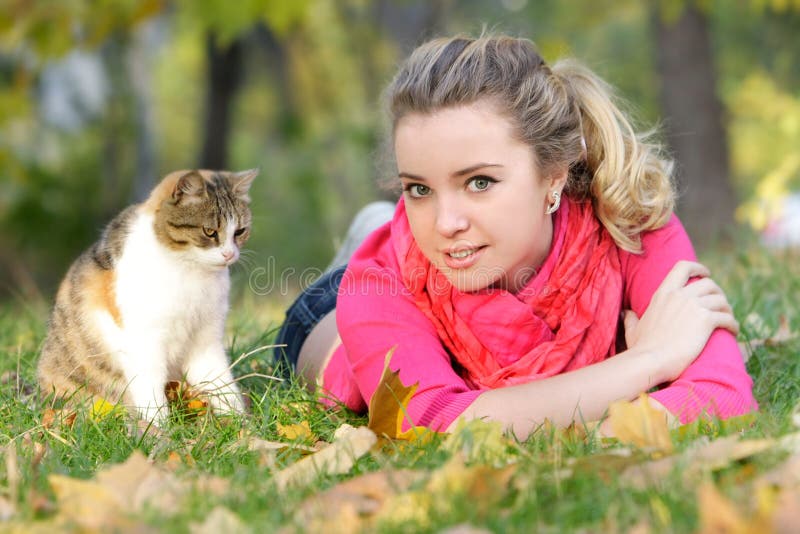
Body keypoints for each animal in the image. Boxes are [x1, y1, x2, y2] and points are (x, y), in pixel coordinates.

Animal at [38, 170, 256, 426]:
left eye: (239, 231)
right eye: (210, 231)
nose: (230, 254)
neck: (191, 272)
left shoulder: (205, 339)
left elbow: (221, 383)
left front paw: (240, 423)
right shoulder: (144, 341)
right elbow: (150, 389)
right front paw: (158, 427)